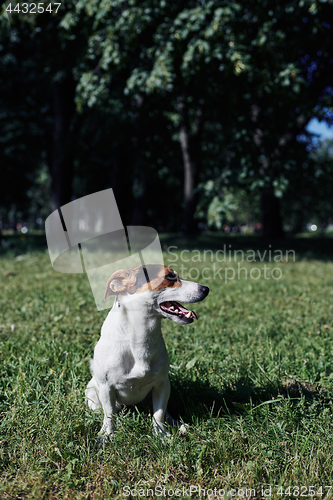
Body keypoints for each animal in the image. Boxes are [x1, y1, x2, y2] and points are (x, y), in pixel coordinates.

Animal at [85, 264, 208, 444]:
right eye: (169, 277)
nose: (206, 289)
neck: (140, 335)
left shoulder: (162, 384)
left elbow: (159, 413)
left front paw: (161, 434)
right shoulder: (107, 388)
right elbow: (109, 414)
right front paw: (107, 434)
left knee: (165, 412)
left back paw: (178, 425)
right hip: (92, 393)